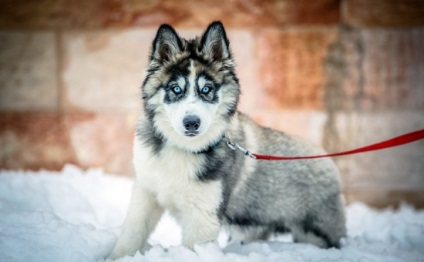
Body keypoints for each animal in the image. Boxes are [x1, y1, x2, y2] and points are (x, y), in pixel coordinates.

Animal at [107, 21, 346, 258]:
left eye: (207, 89)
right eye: (176, 89)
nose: (191, 123)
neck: (184, 149)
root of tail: (326, 158)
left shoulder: (203, 216)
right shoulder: (146, 193)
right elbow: (132, 234)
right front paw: (117, 257)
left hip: (317, 230)